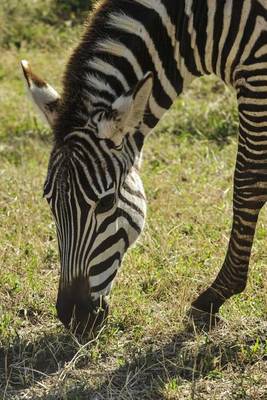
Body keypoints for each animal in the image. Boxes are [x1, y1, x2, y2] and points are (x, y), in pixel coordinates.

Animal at [21, 0, 267, 334]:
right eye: (50, 202)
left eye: (105, 202)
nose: (73, 318)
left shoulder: (257, 73)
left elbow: (247, 183)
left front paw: (217, 295)